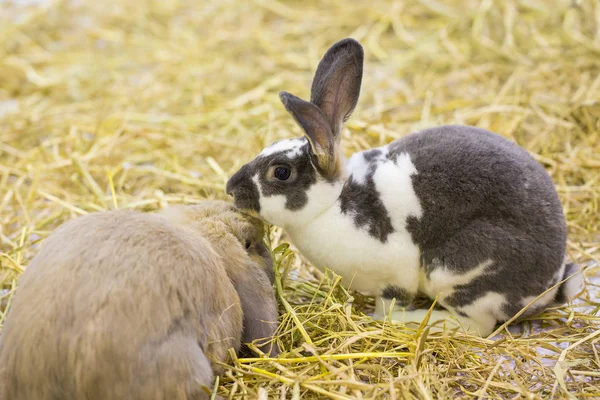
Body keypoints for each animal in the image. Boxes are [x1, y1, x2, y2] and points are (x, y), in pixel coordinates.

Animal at [224, 38, 580, 338]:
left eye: (281, 172)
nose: (230, 188)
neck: (333, 202)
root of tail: (548, 285)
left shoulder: (394, 277)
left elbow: (389, 303)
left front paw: (380, 319)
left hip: (455, 268)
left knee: (478, 326)